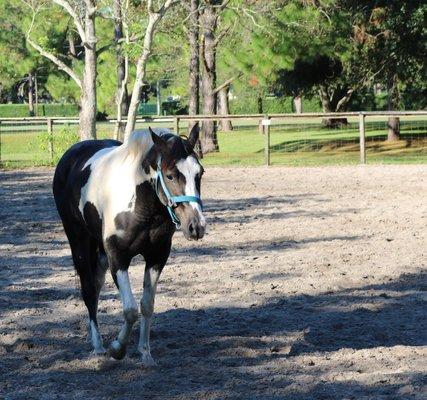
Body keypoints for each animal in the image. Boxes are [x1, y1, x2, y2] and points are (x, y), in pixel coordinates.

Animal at [52, 125, 206, 366]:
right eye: (170, 175)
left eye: (199, 173)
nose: (196, 226)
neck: (141, 206)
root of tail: (71, 156)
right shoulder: (118, 258)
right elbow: (131, 310)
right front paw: (117, 348)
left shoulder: (157, 257)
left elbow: (147, 305)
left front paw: (145, 353)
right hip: (79, 242)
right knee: (89, 291)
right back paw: (98, 346)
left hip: (100, 253)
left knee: (96, 285)